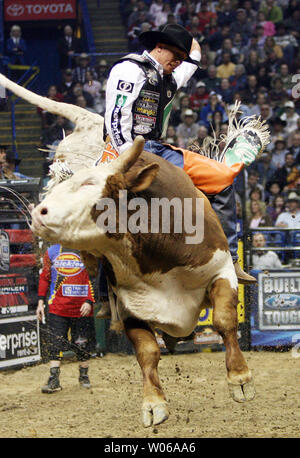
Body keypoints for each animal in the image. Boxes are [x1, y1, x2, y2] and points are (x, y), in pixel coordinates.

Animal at [29, 135, 255, 426]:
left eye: (89, 182)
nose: (38, 213)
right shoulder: (130, 306)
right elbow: (147, 352)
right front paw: (153, 403)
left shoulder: (221, 271)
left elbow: (224, 321)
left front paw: (240, 378)